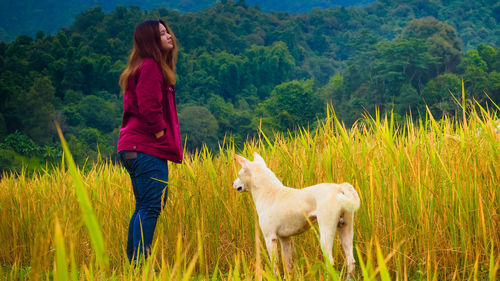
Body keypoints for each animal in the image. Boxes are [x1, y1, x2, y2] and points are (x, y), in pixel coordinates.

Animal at [232, 151, 362, 276]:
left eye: (239, 174)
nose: (233, 184)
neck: (268, 192)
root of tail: (339, 187)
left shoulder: (270, 238)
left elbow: (275, 266)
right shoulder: (285, 239)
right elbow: (288, 264)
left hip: (326, 232)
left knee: (330, 262)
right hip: (345, 229)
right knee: (351, 261)